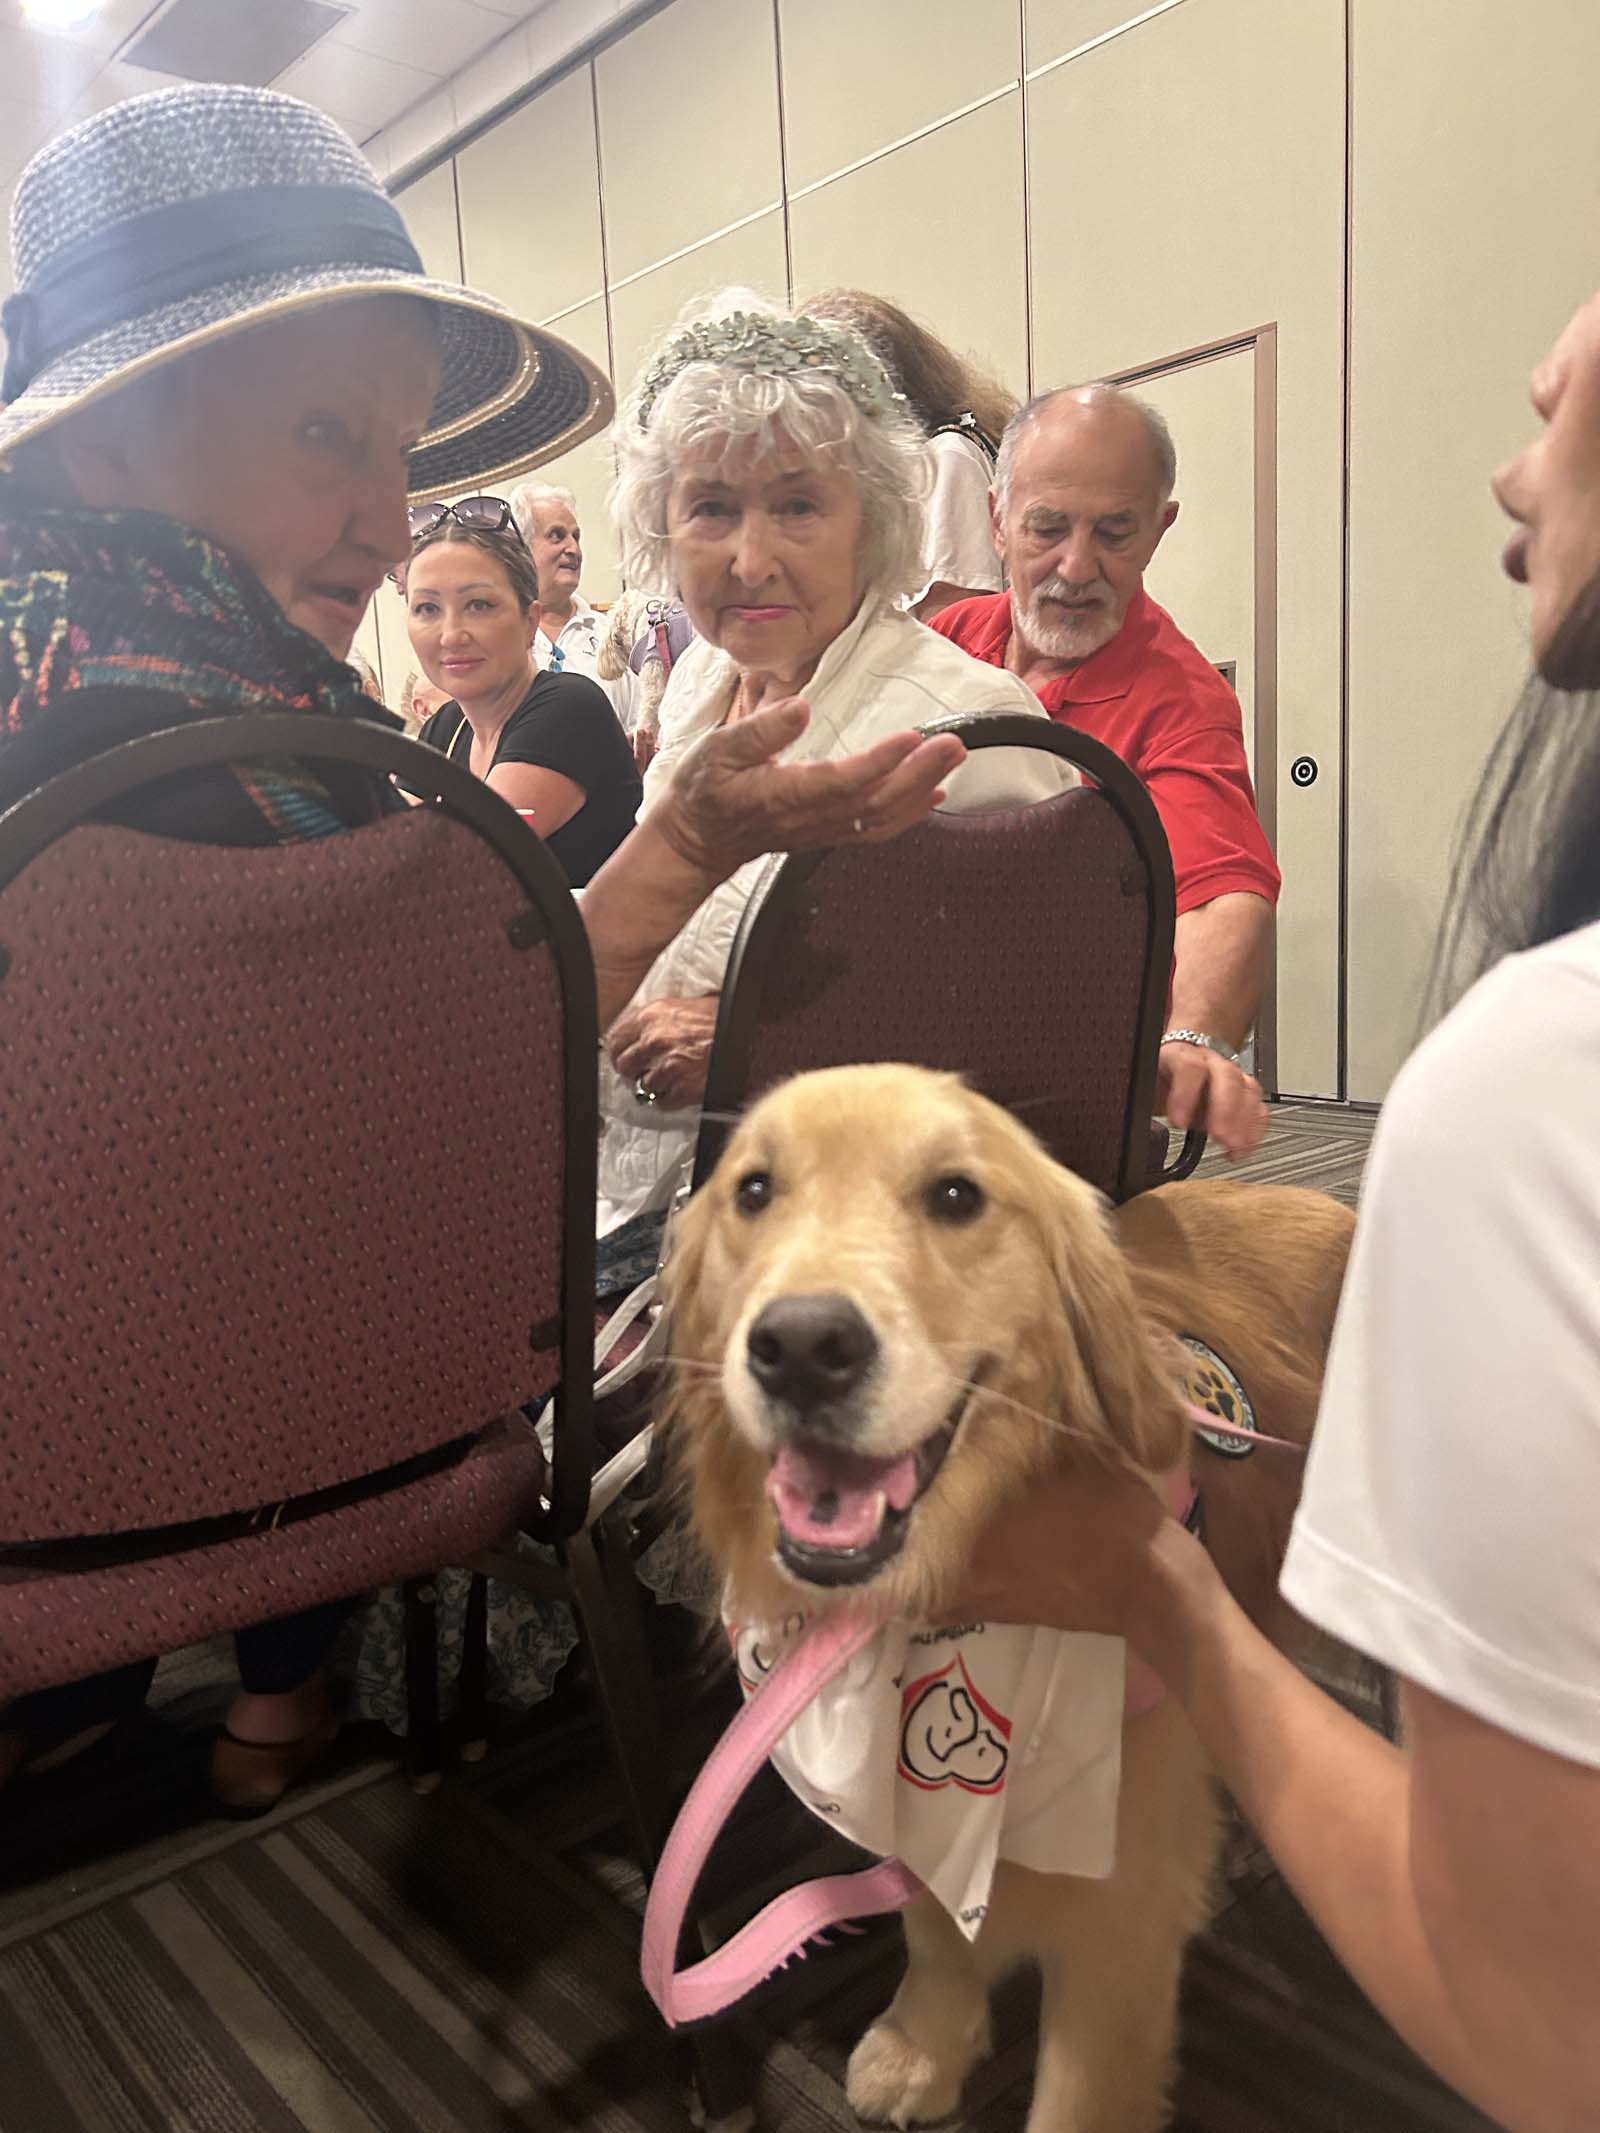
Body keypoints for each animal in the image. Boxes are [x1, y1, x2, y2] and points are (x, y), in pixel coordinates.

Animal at [659, 1063, 1355, 2133]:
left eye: (956, 1195)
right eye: (754, 1190)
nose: (802, 1346)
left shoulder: (1121, 1906)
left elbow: (1080, 2090)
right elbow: (933, 1925)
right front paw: (922, 2044)